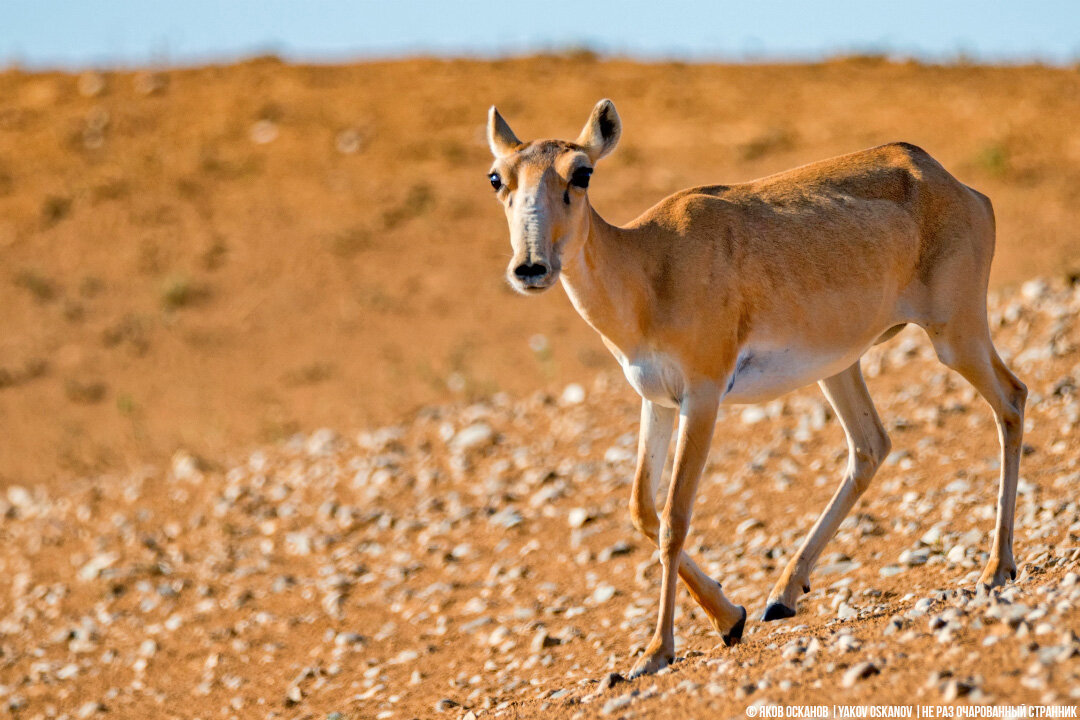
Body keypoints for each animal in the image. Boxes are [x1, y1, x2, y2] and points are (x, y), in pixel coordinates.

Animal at [486, 98, 1023, 677]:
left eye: (581, 172)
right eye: (497, 177)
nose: (531, 267)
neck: (649, 265)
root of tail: (955, 185)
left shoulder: (702, 397)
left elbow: (674, 519)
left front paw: (657, 651)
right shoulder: (656, 400)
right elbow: (641, 509)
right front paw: (731, 616)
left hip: (955, 336)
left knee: (1012, 399)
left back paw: (997, 569)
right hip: (840, 366)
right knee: (871, 446)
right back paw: (782, 595)